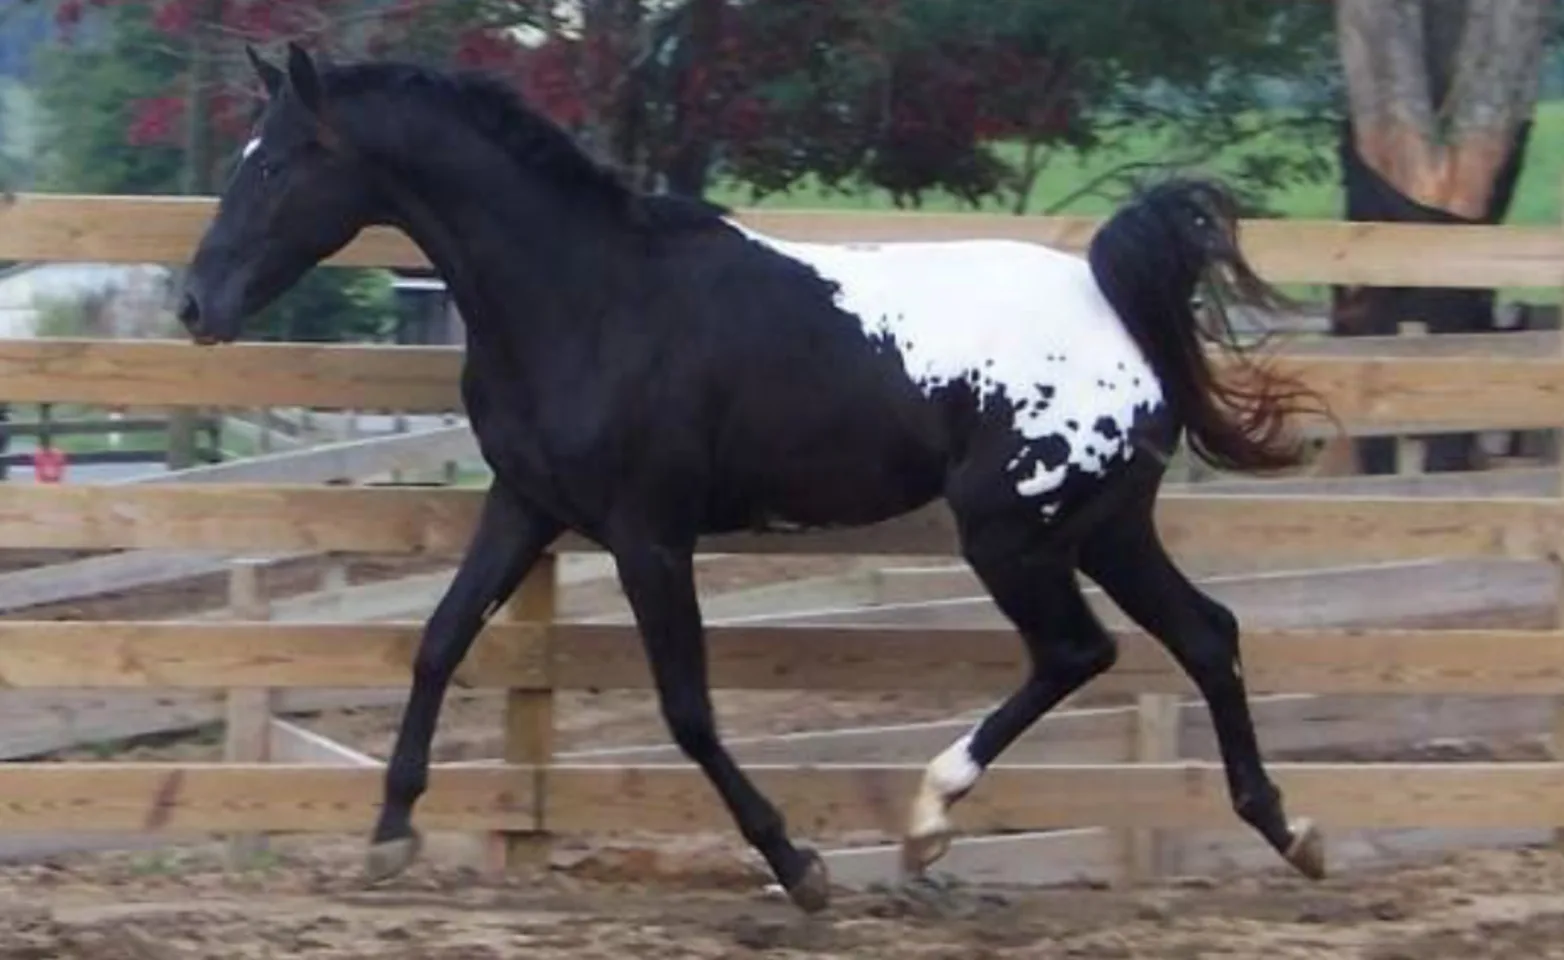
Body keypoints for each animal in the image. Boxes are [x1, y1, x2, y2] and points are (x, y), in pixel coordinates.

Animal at [179, 45, 1332, 919]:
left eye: (279, 164)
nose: (196, 304)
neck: (588, 295)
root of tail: (1113, 302)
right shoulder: (528, 505)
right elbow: (438, 641)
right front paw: (388, 836)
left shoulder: (648, 533)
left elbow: (688, 709)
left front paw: (799, 866)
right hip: (1104, 527)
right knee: (1205, 636)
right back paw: (1291, 831)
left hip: (1012, 531)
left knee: (1078, 650)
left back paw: (927, 822)